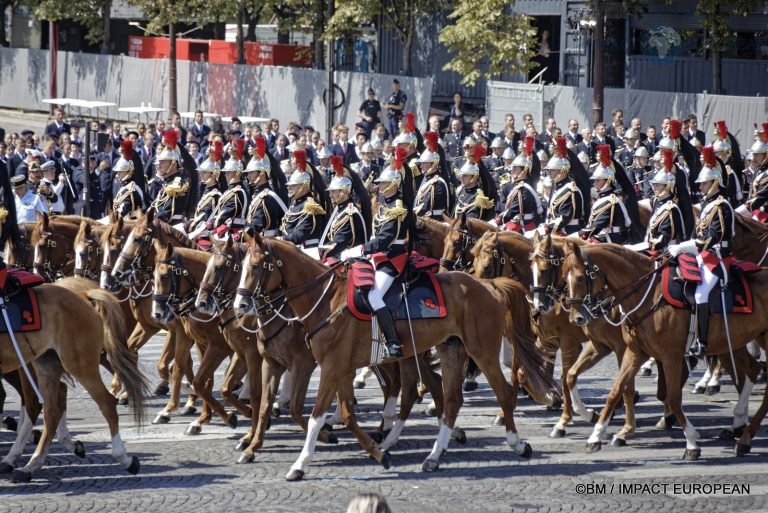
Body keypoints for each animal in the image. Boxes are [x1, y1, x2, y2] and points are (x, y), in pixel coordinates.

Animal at [0, 284, 149, 480]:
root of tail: (82, 295)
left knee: (106, 403)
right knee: (51, 411)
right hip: (46, 363)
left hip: (79, 364)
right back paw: (31, 464)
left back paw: (124, 458)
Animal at [234, 235, 552, 480]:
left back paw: (517, 444)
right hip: (448, 350)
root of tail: (489, 285)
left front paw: (300, 464)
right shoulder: (337, 368)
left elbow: (315, 416)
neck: (326, 300)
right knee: (448, 399)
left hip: (481, 351)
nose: (240, 306)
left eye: (256, 266)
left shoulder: (329, 367)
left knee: (503, 393)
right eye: (241, 266)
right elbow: (343, 413)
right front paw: (377, 453)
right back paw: (433, 455)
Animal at [560, 242, 768, 458]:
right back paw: (741, 430)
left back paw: (742, 435)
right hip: (733, 342)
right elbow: (614, 390)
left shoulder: (670, 356)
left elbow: (673, 398)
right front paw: (595, 435)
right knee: (752, 370)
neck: (647, 294)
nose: (576, 318)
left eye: (580, 278)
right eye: (564, 279)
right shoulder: (633, 351)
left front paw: (691, 442)